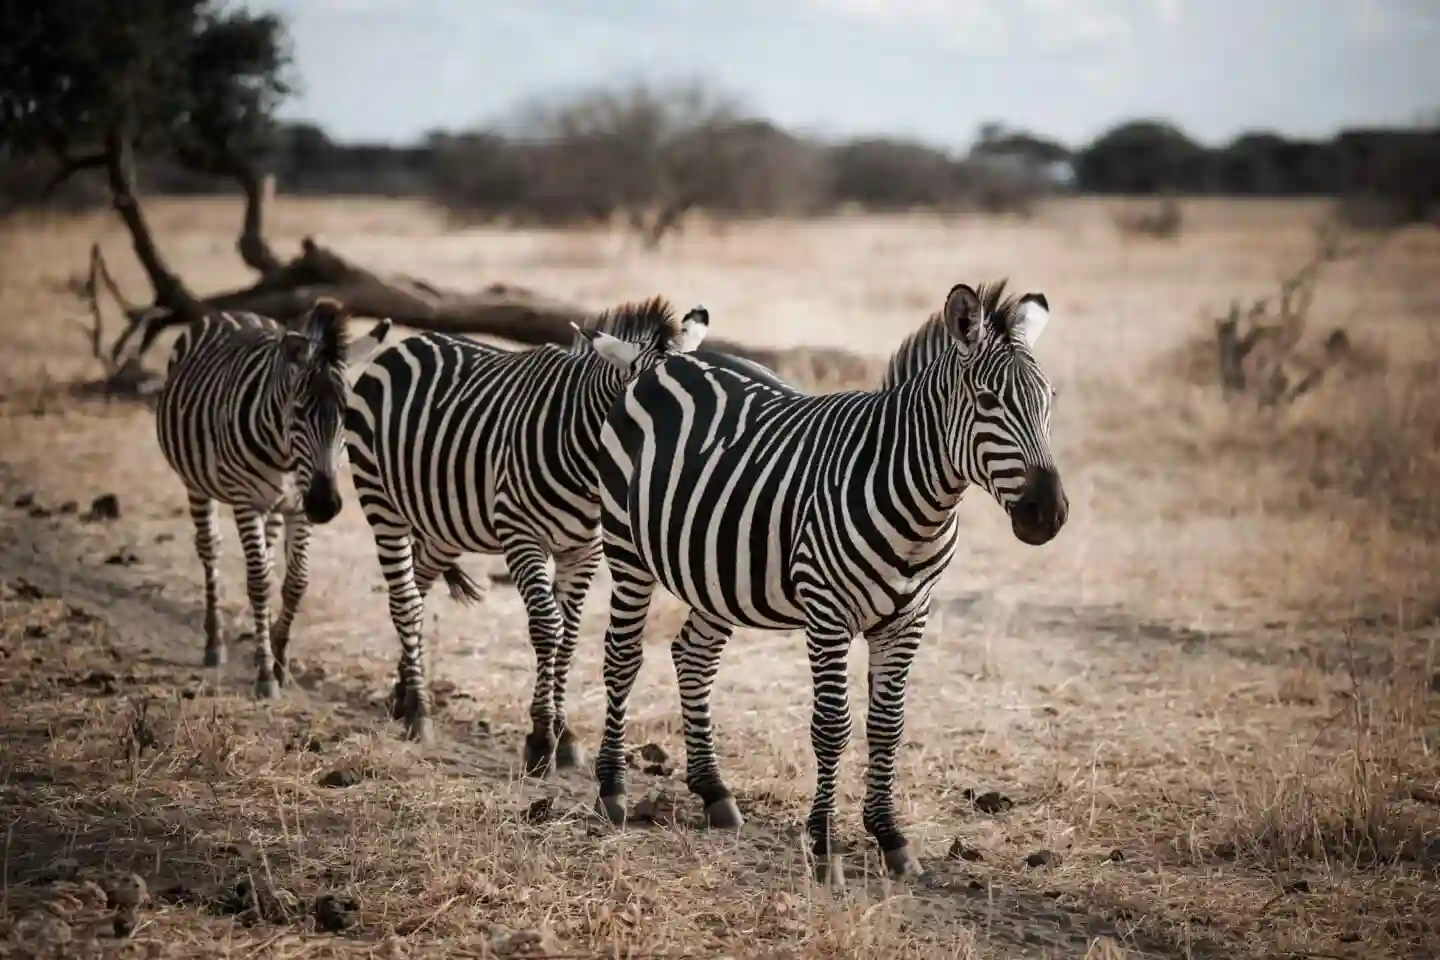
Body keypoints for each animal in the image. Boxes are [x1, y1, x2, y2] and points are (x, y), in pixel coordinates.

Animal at [155, 298, 392, 698]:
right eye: (297, 412)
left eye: (348, 419)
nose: (326, 505)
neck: (286, 456)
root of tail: (233, 311)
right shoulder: (246, 501)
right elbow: (259, 583)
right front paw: (266, 674)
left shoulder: (298, 506)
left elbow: (295, 582)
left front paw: (279, 660)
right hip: (197, 483)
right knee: (210, 548)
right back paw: (215, 642)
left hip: (276, 507)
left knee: (265, 553)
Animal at [344, 296, 739, 770]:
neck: (589, 465)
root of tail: (410, 342)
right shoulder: (521, 534)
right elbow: (548, 626)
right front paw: (540, 738)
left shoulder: (584, 550)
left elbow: (569, 635)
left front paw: (564, 734)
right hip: (380, 501)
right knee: (405, 601)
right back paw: (419, 711)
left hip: (444, 525)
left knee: (418, 590)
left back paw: (402, 696)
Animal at [590, 280, 1069, 882]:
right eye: (987, 402)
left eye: (1049, 401)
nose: (1047, 514)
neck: (917, 502)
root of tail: (667, 359)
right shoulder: (828, 613)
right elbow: (832, 725)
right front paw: (824, 845)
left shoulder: (910, 616)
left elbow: (887, 724)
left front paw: (890, 838)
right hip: (626, 548)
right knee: (623, 657)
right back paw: (612, 789)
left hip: (714, 570)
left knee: (694, 656)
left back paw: (715, 792)